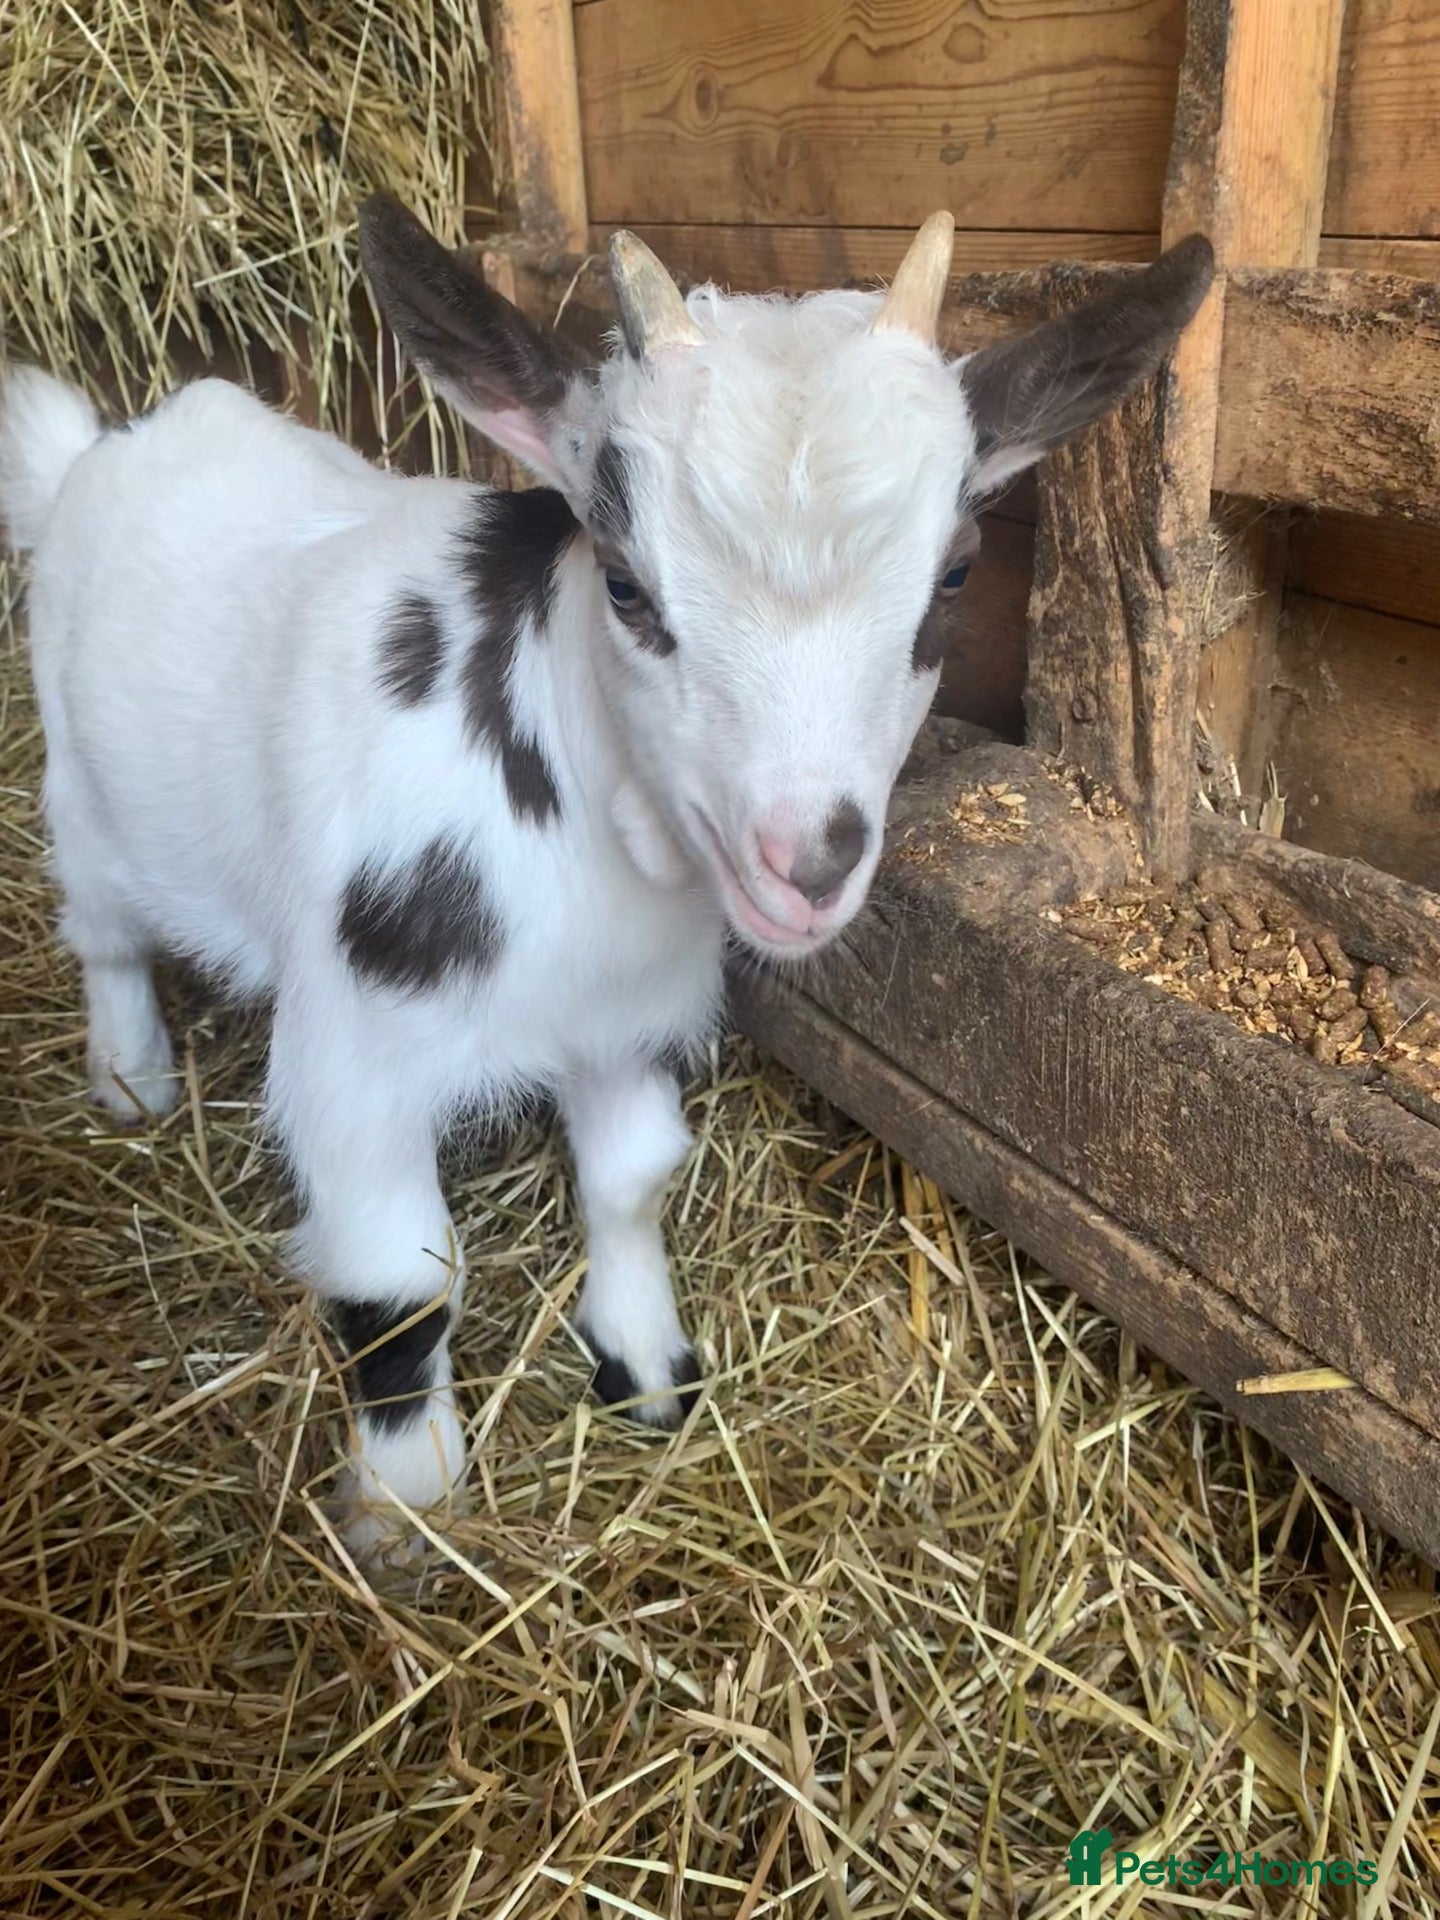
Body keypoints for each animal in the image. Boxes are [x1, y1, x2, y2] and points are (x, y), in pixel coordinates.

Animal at [0, 203, 1212, 1551]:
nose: (809, 860)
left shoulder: (622, 1016)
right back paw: (131, 1076)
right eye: (627, 587)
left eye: (952, 578)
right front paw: (407, 1507)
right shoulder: (353, 1059)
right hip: (83, 791)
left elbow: (632, 1182)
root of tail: (103, 445)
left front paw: (646, 1371)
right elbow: (398, 1278)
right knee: (101, 924)